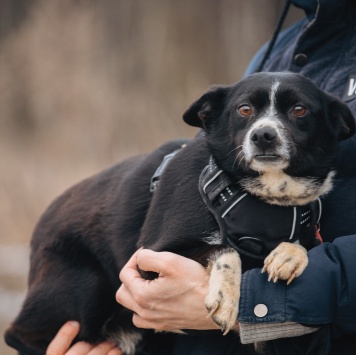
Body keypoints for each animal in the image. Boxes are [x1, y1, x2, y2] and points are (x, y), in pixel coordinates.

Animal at [5, 71, 356, 354]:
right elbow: (225, 249)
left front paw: (288, 254)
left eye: (299, 109)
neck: (261, 199)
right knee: (18, 335)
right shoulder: (149, 259)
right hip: (86, 285)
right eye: (245, 109)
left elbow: (303, 245)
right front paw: (226, 297)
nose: (263, 135)